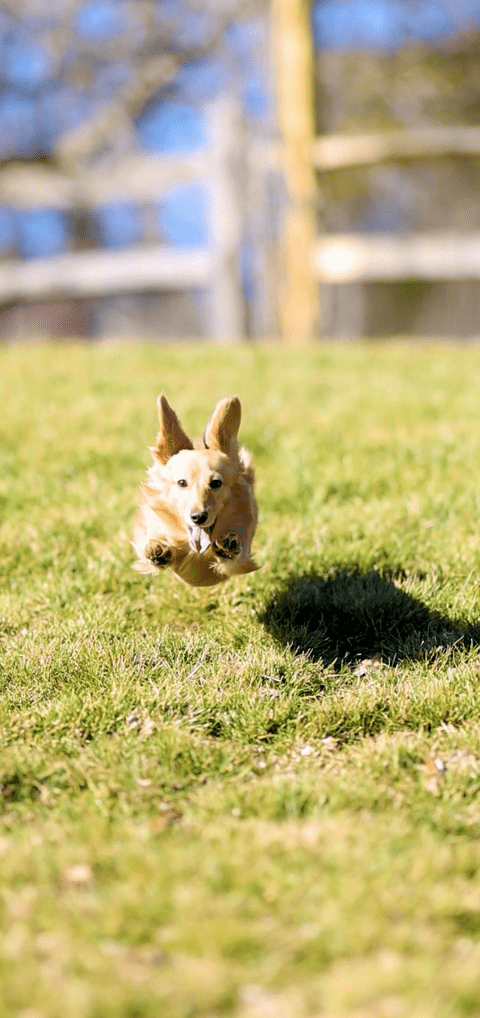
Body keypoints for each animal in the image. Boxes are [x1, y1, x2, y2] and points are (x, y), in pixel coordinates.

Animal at [131, 394, 258, 590]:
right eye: (182, 483)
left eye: (216, 483)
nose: (198, 517)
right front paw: (159, 550)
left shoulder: (243, 555)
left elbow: (236, 559)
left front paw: (228, 547)